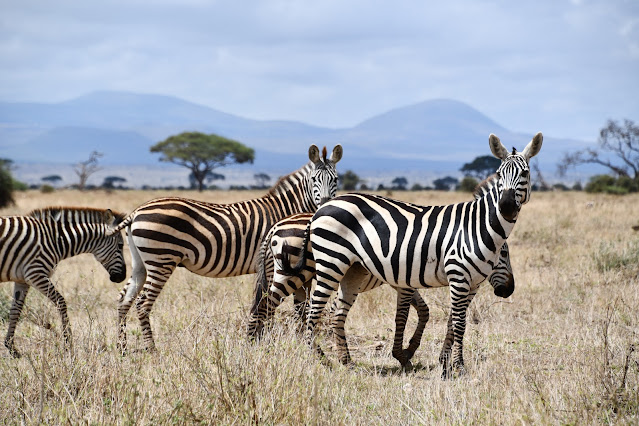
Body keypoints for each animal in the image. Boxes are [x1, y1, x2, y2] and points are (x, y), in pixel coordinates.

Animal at [0, 206, 127, 356]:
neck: (55, 240)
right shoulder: (35, 274)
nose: (123, 276)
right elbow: (61, 302)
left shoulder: (22, 280)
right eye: (120, 245)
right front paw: (68, 345)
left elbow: (15, 310)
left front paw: (11, 347)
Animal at [109, 145, 344, 352]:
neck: (287, 210)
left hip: (141, 263)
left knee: (123, 299)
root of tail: (136, 212)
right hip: (161, 261)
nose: (325, 204)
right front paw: (267, 343)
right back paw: (151, 349)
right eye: (314, 180)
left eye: (335, 179)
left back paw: (122, 348)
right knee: (142, 303)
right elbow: (274, 306)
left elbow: (291, 307)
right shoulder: (273, 264)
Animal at [250, 203, 516, 370]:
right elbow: (411, 314)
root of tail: (276, 226)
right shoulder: (404, 282)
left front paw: (408, 351)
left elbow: (424, 311)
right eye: (502, 255)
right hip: (297, 274)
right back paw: (257, 345)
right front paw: (404, 354)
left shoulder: (403, 282)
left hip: (293, 277)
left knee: (276, 308)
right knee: (265, 306)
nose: (509, 290)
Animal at [286, 132, 544, 376]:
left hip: (353, 270)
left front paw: (445, 363)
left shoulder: (472, 284)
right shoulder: (458, 276)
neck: (476, 227)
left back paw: (347, 362)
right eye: (500, 174)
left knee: (338, 314)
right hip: (331, 262)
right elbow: (459, 323)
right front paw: (459, 367)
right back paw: (319, 360)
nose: (506, 206)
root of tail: (320, 209)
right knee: (313, 311)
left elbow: (453, 322)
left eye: (525, 173)